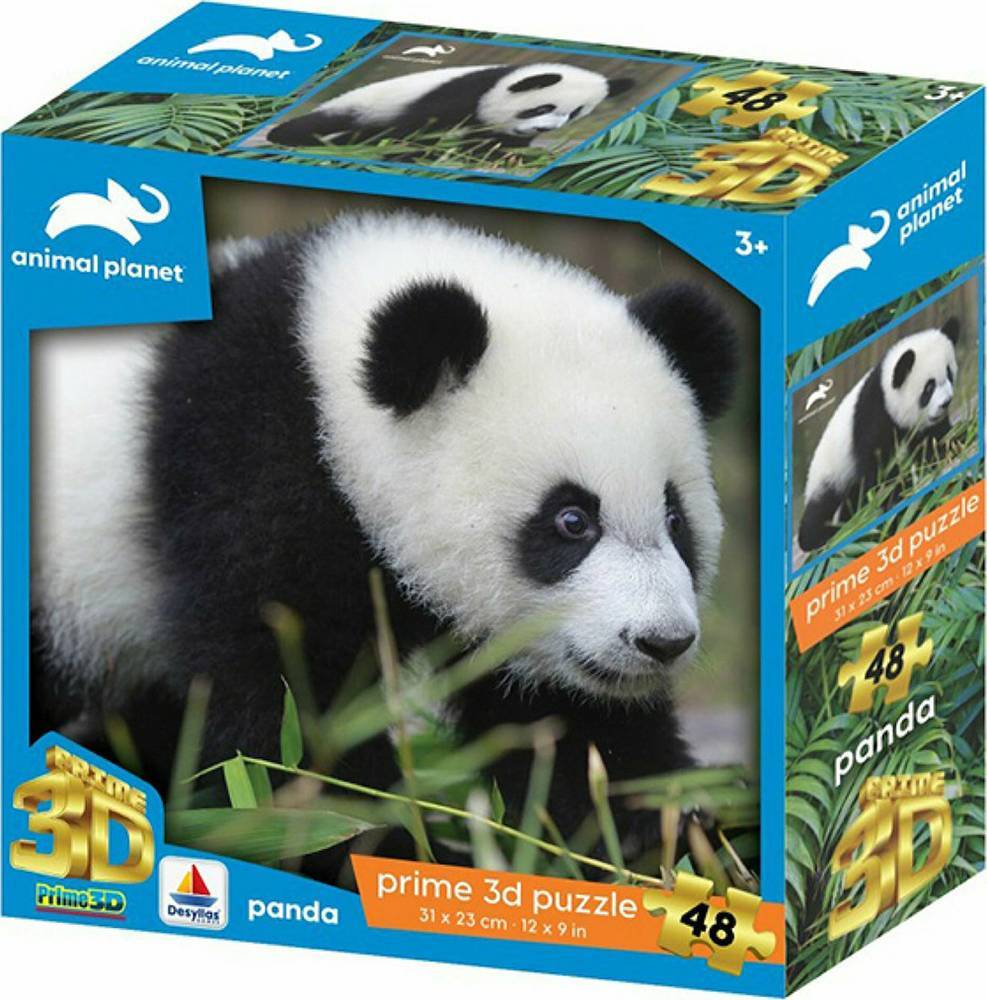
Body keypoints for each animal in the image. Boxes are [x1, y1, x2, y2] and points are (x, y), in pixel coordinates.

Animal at [31, 213, 738, 857]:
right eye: (571, 521)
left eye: (675, 519)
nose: (662, 642)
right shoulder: (250, 469)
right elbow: (288, 703)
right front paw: (380, 843)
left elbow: (564, 727)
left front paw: (659, 834)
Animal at [798, 320, 960, 552]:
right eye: (928, 389)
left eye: (949, 375)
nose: (946, 402)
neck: (885, 389)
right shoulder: (872, 418)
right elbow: (877, 469)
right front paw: (894, 494)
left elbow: (933, 439)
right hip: (829, 474)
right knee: (820, 509)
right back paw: (819, 536)